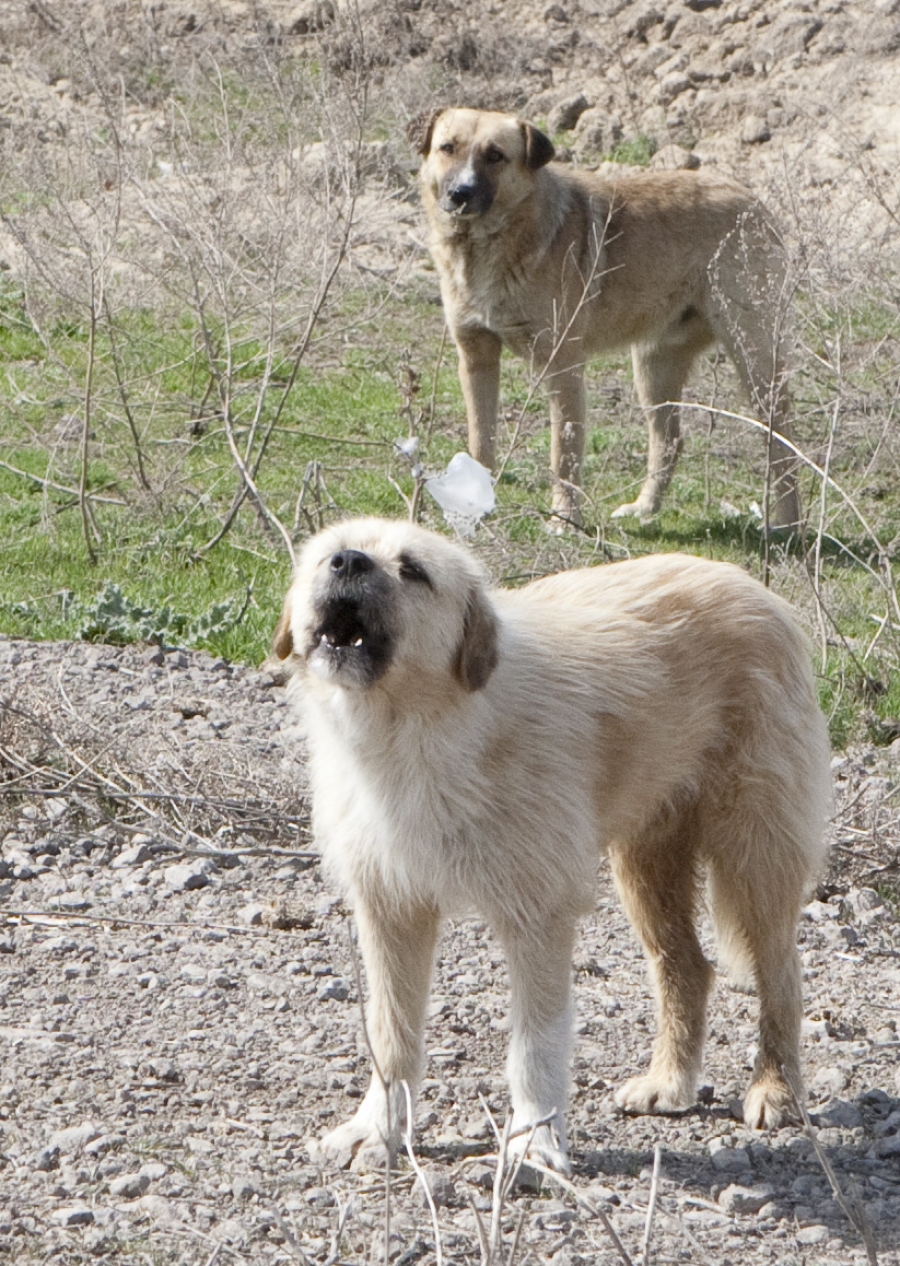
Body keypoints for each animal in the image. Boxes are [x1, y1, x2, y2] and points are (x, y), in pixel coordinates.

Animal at [274, 519, 830, 1169]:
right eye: (327, 554)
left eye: (413, 569)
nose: (346, 561)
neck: (416, 735)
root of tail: (753, 587)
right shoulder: (392, 909)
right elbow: (392, 1035)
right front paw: (379, 1130)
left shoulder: (536, 917)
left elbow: (535, 1044)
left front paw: (534, 1144)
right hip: (647, 868)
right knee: (687, 968)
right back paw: (669, 1084)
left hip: (754, 859)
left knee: (782, 976)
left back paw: (777, 1090)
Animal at [412, 103, 800, 529]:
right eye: (448, 148)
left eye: (495, 155)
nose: (459, 194)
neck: (493, 242)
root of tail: (753, 202)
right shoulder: (476, 357)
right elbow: (480, 439)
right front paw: (474, 505)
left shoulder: (562, 368)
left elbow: (563, 451)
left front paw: (565, 518)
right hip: (653, 369)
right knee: (670, 439)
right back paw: (645, 508)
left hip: (755, 364)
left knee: (784, 444)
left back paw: (788, 525)